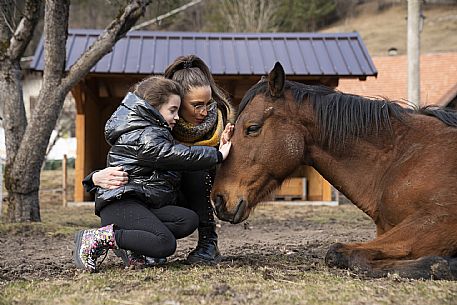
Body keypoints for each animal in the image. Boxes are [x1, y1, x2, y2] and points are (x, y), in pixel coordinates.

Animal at [212, 63, 456, 280]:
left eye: (252, 128)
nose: (218, 199)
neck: (402, 158)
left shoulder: (439, 219)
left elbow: (346, 253)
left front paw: (440, 265)